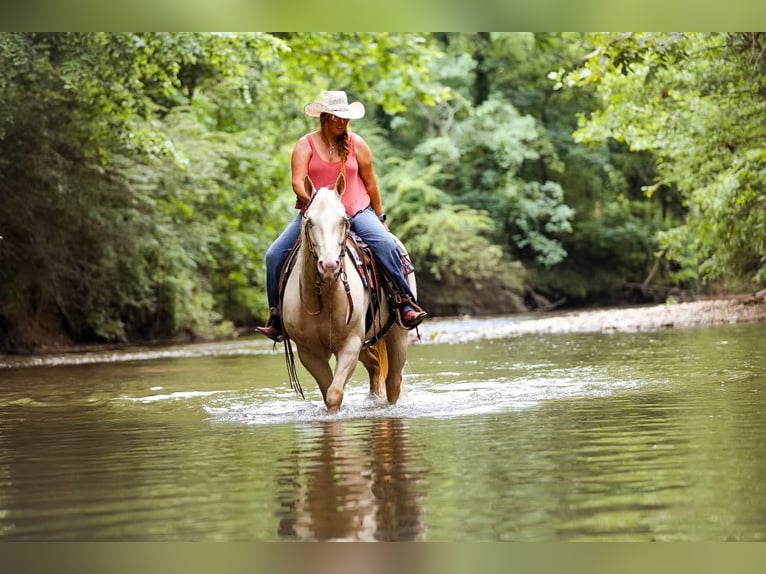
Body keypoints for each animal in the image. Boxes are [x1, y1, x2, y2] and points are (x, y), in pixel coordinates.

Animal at [280, 172, 416, 414]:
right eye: (309, 221)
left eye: (344, 220)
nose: (329, 266)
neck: (325, 297)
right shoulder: (308, 352)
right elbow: (328, 392)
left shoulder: (350, 344)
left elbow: (334, 393)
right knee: (374, 365)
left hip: (397, 334)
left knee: (393, 382)